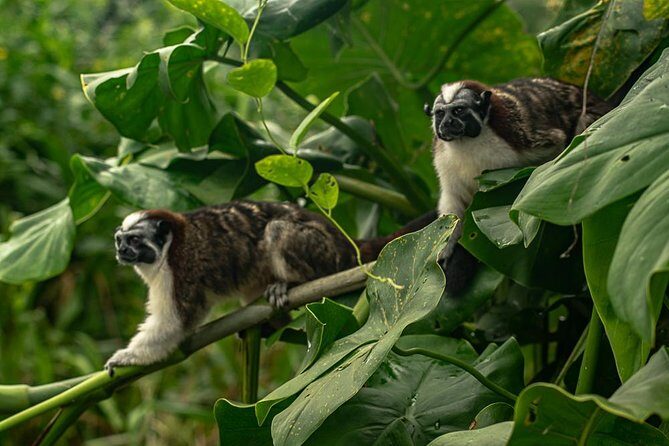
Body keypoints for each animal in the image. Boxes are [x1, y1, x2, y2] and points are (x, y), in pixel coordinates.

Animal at [106, 200, 433, 373]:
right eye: (120, 239)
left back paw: (292, 283)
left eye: (134, 240)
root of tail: (342, 239)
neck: (169, 247)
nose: (122, 250)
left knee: (276, 230)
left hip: (323, 252)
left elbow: (175, 324)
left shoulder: (181, 269)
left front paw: (124, 357)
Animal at [425, 77, 611, 291]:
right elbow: (453, 201)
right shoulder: (442, 157)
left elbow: (553, 154)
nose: (447, 123)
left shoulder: (521, 136)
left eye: (458, 111)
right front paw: (445, 248)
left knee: (585, 124)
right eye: (440, 113)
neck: (468, 142)